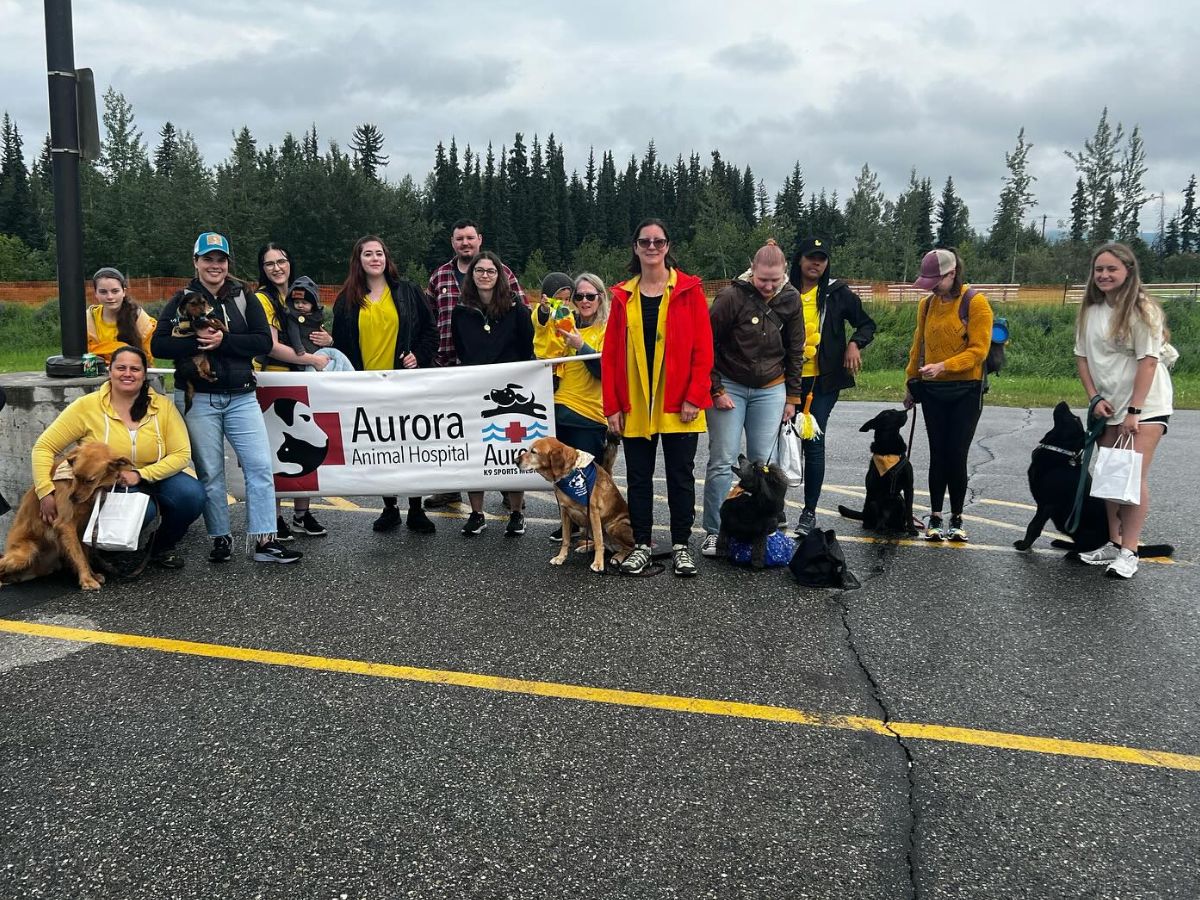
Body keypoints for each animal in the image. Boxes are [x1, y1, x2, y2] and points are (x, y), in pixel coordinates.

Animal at [1012, 400, 1171, 556]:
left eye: (1075, 418)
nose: (1063, 402)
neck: (1061, 451)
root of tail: (1113, 541)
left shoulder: (1047, 504)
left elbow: (1033, 526)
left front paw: (1023, 546)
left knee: (1087, 546)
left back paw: (1072, 552)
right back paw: (1062, 543)